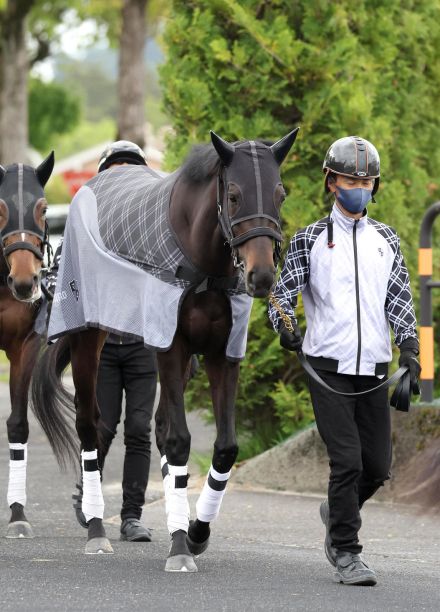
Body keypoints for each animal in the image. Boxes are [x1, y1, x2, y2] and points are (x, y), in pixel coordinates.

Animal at [31, 130, 300, 568]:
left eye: (280, 193)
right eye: (234, 196)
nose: (261, 275)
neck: (202, 268)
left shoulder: (221, 354)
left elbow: (224, 447)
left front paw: (196, 531)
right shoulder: (171, 347)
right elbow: (178, 441)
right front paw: (179, 546)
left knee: (150, 425)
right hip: (90, 338)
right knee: (90, 426)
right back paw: (95, 527)